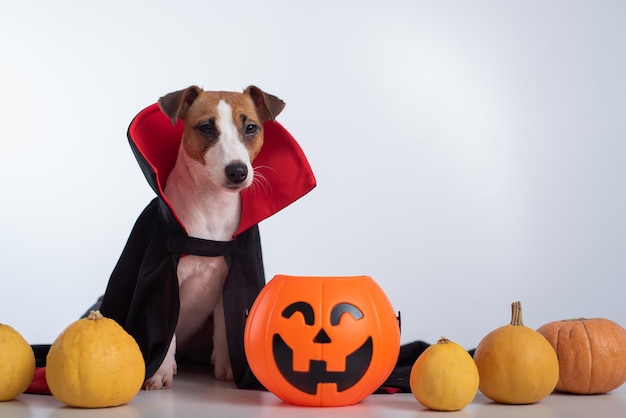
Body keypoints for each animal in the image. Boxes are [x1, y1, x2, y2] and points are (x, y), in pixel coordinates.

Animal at [143, 84, 284, 388]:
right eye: (206, 127)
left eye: (251, 127)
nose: (237, 171)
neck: (211, 206)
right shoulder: (168, 280)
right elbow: (166, 330)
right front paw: (159, 371)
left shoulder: (227, 280)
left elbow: (224, 327)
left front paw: (228, 367)